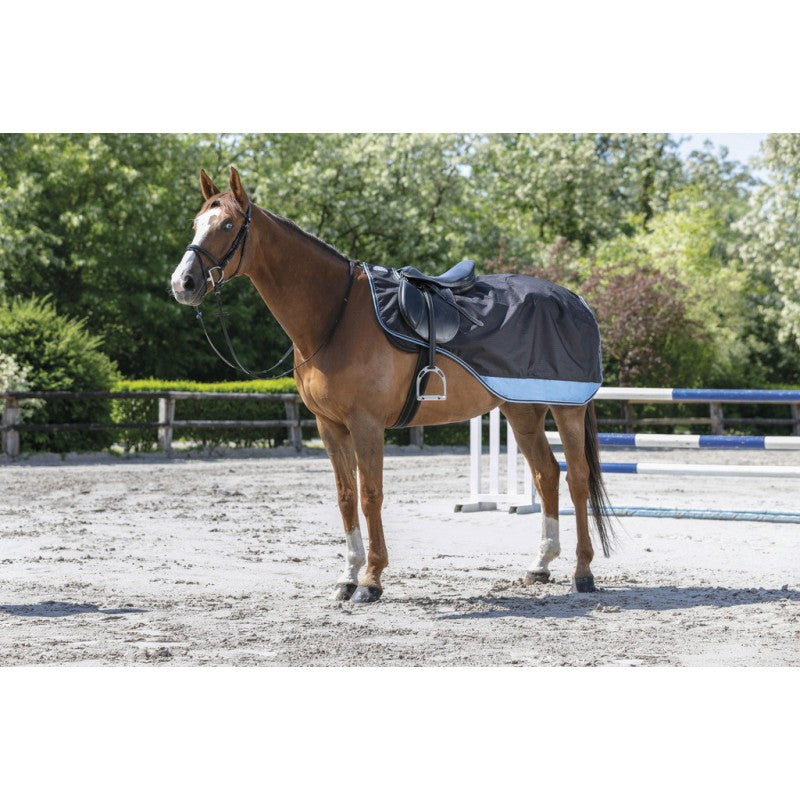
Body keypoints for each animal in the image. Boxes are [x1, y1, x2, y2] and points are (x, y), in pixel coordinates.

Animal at [170, 167, 613, 603]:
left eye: (228, 224)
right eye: (195, 223)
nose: (183, 283)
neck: (335, 315)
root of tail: (573, 300)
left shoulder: (366, 424)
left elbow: (370, 495)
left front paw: (371, 579)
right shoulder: (329, 426)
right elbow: (346, 497)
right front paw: (347, 577)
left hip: (567, 409)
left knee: (576, 478)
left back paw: (583, 572)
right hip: (521, 410)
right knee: (546, 474)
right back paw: (540, 566)